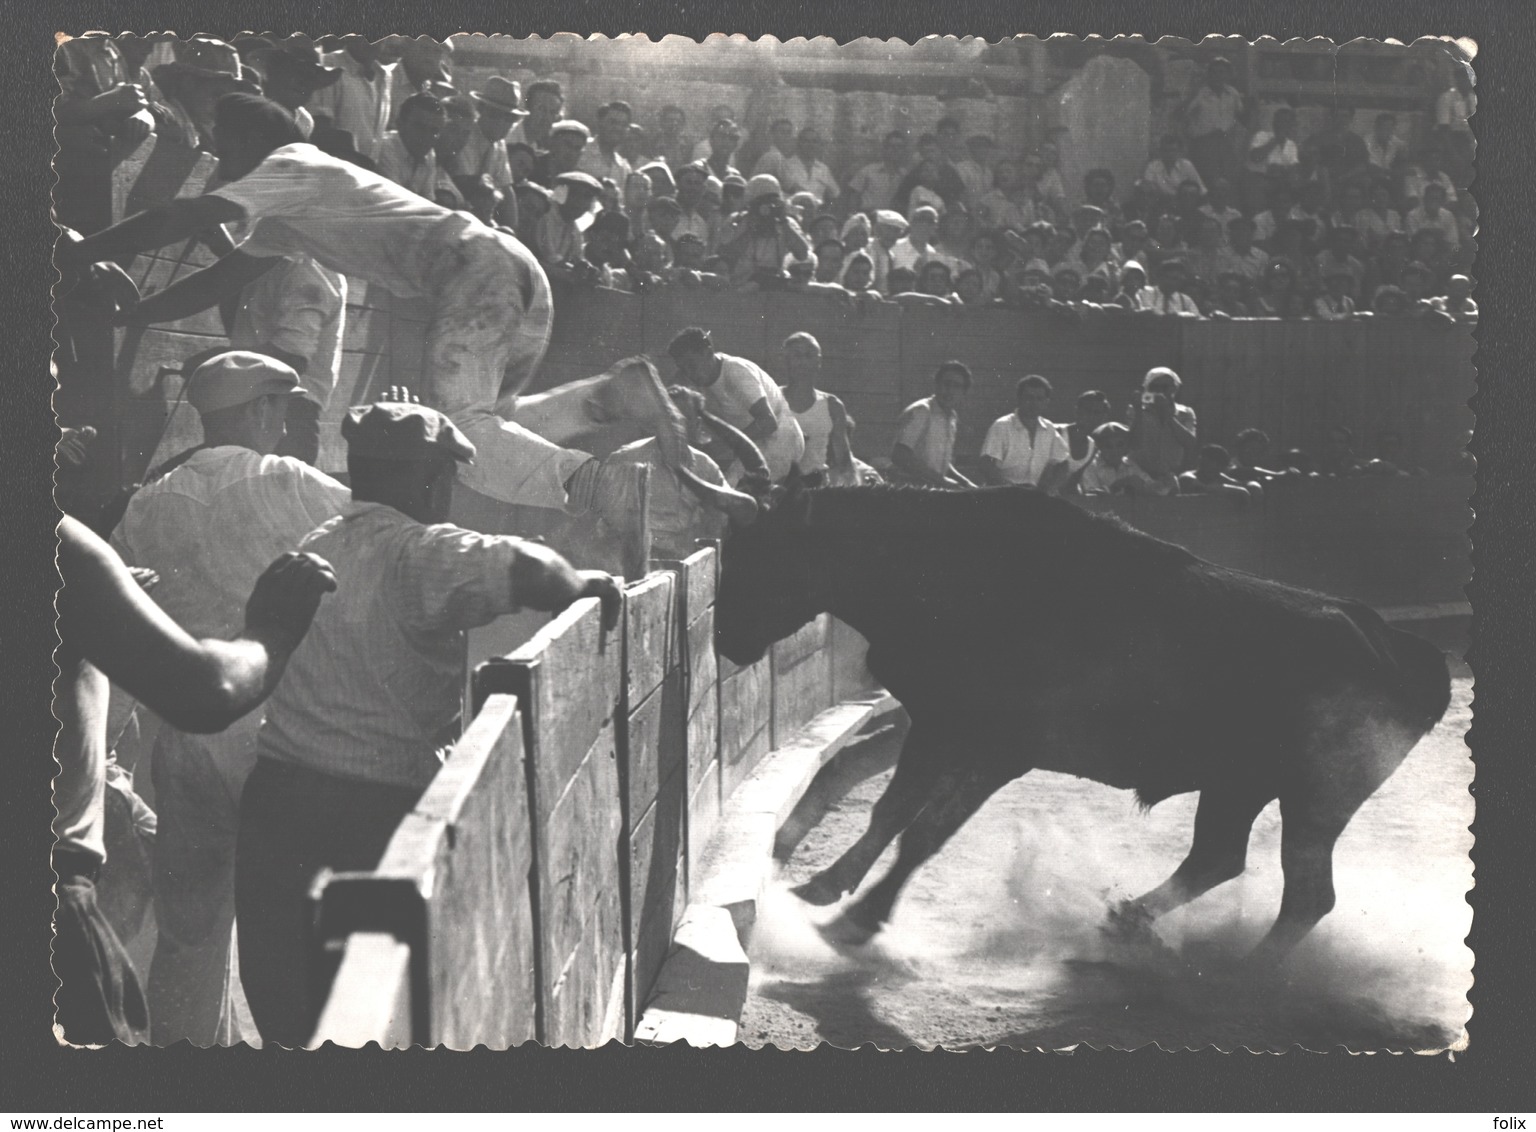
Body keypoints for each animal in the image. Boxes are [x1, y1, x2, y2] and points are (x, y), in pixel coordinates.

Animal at [712, 476, 1443, 964]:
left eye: (765, 553)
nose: (725, 642)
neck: (955, 571)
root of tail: (1400, 647)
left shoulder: (999, 751)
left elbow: (924, 831)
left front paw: (856, 921)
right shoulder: (938, 724)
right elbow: (882, 803)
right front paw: (816, 884)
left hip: (1315, 801)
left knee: (1304, 896)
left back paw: (1243, 980)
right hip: (1240, 787)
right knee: (1219, 858)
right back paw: (1128, 922)